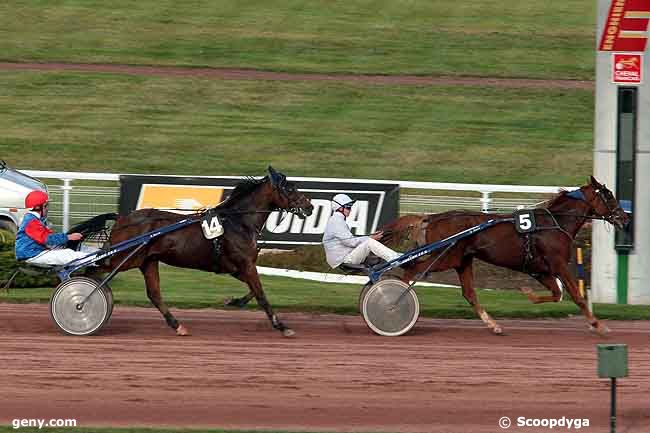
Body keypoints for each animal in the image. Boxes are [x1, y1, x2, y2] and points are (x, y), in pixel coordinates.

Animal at [102, 167, 312, 336]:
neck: (238, 222)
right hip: (124, 259)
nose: (309, 206)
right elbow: (260, 294)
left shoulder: (236, 267)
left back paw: (178, 325)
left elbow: (253, 290)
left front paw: (233, 301)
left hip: (148, 261)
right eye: (290, 188)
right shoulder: (245, 264)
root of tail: (122, 219)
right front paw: (282, 326)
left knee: (154, 294)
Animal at [380, 176, 628, 334]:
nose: (624, 217)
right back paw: (393, 305)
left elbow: (557, 294)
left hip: (462, 260)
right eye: (608, 195)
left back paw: (493, 324)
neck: (555, 223)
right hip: (444, 257)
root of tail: (432, 217)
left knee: (469, 293)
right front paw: (598, 325)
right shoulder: (558, 264)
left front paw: (528, 294)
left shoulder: (540, 269)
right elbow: (577, 296)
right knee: (409, 272)